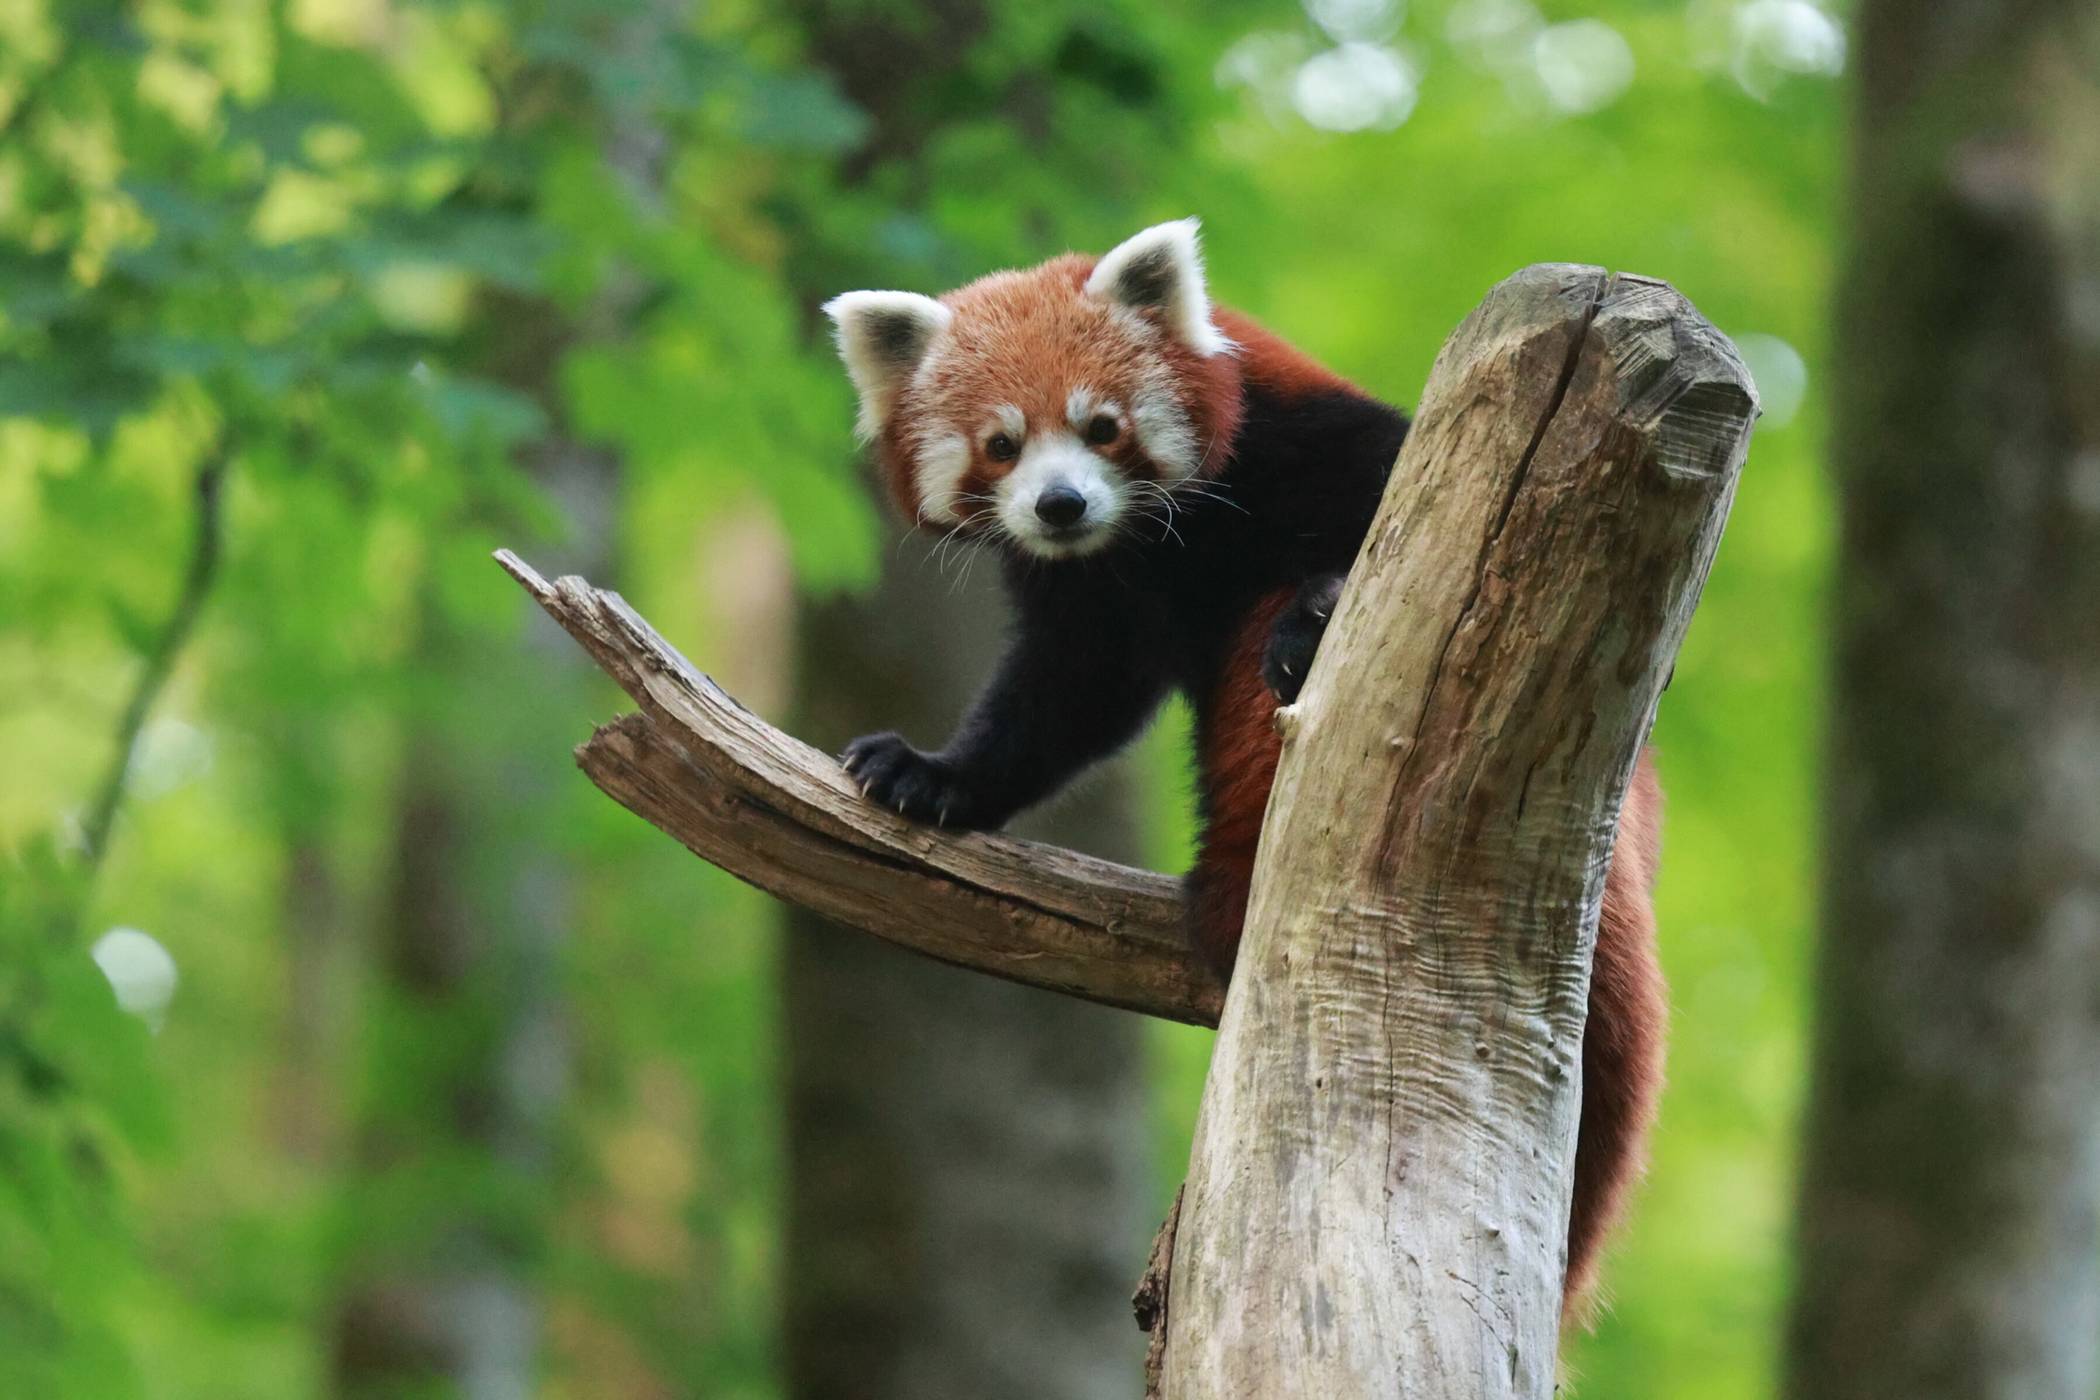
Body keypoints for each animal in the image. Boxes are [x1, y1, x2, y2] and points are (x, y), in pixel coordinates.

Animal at [823, 219, 1665, 1313]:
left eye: (1102, 427)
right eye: (1001, 443)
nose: (1060, 504)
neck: (1154, 542)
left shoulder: (1311, 435)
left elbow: (1381, 509)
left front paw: (1321, 601)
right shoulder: (1090, 596)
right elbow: (1065, 695)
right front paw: (939, 775)